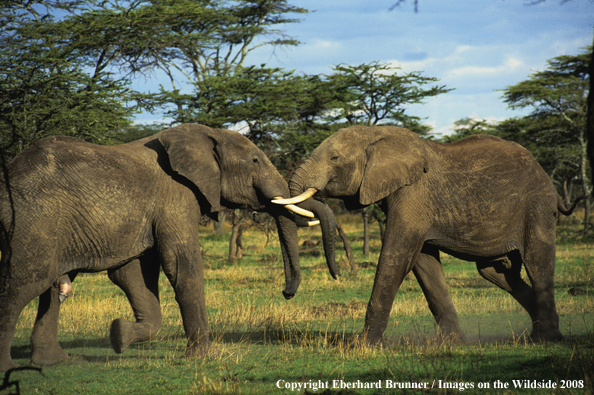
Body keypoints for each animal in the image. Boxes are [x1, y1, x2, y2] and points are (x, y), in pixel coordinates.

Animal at [1, 124, 310, 372]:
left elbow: (133, 276)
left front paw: (118, 336)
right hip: (33, 221)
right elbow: (182, 267)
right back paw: (10, 367)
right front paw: (202, 358)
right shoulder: (176, 197)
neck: (207, 134)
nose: (287, 293)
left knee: (52, 287)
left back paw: (54, 362)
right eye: (255, 160)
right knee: (23, 284)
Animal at [276, 126, 580, 346]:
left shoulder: (414, 195)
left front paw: (362, 346)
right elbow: (423, 262)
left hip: (537, 207)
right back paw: (537, 333)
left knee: (537, 263)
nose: (287, 294)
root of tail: (546, 177)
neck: (375, 133)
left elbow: (396, 257)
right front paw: (453, 343)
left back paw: (548, 339)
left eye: (335, 158)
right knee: (496, 271)